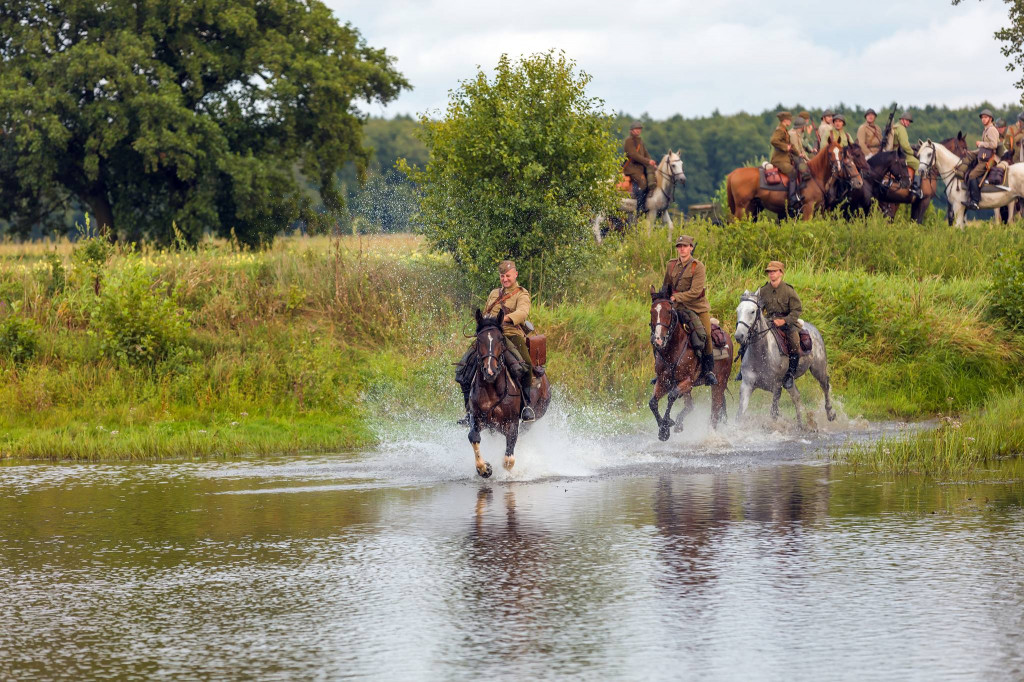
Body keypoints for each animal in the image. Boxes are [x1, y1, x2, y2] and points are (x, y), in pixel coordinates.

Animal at [468, 309, 552, 477]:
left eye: (500, 339)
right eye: (479, 340)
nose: (490, 371)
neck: (491, 388)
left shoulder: (511, 424)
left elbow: (508, 460)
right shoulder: (478, 418)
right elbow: (473, 437)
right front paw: (484, 468)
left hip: (533, 418)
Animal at [647, 282, 737, 438]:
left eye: (669, 311)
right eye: (652, 312)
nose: (658, 340)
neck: (672, 350)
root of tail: (727, 338)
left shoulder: (687, 381)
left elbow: (671, 396)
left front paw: (666, 426)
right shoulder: (663, 381)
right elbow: (653, 402)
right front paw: (664, 427)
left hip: (719, 383)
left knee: (715, 410)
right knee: (691, 406)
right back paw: (679, 423)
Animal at [733, 288, 835, 428]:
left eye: (752, 311)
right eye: (738, 310)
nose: (739, 336)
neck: (762, 354)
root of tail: (814, 329)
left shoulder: (777, 387)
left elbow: (773, 413)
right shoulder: (746, 385)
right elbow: (740, 413)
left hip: (818, 369)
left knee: (825, 386)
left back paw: (830, 413)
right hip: (789, 382)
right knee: (797, 397)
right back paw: (801, 424)